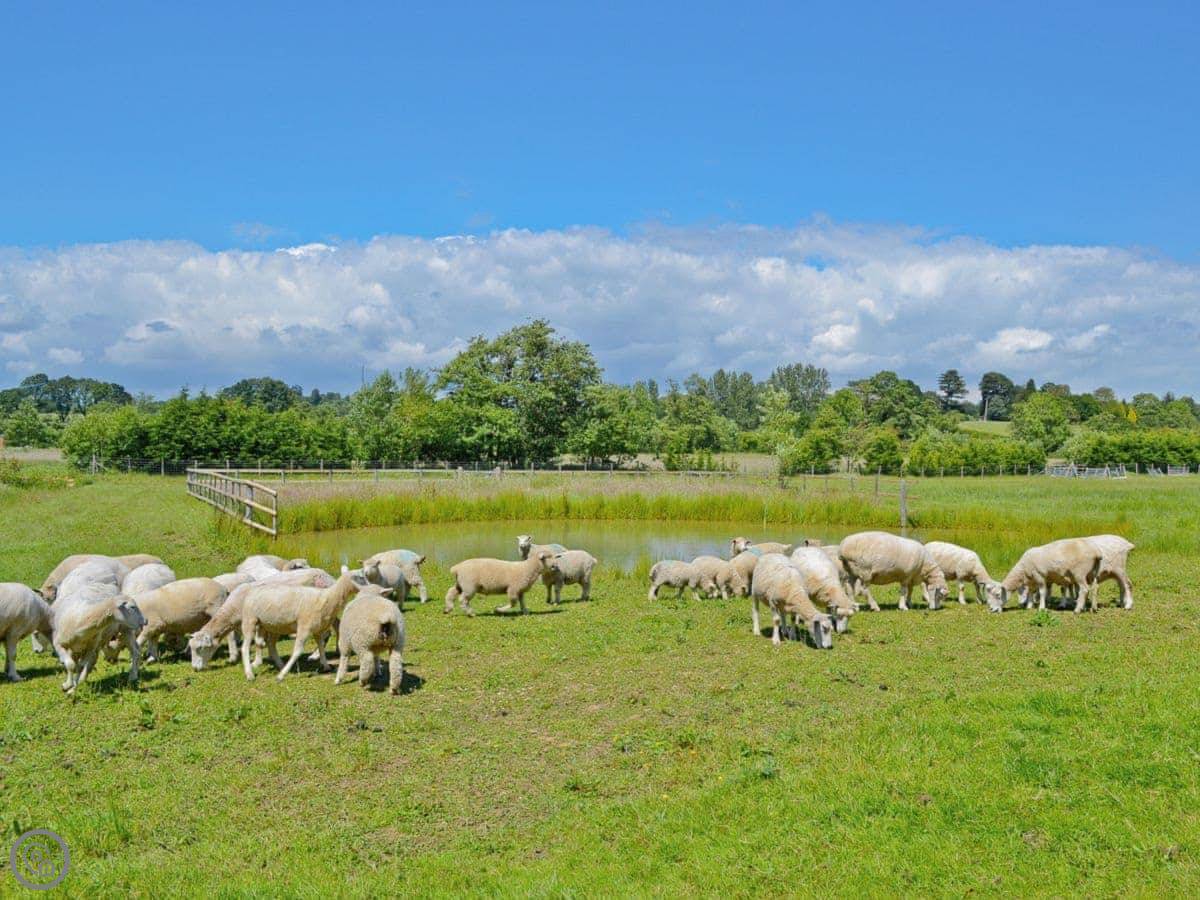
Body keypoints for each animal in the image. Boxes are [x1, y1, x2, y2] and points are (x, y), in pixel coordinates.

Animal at [188, 567, 335, 671]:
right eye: (191, 648)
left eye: (200, 648)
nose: (195, 668)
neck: (234, 608)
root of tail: (327, 575)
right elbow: (261, 642)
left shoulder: (256, 622)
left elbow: (259, 643)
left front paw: (256, 663)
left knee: (327, 633)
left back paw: (316, 656)